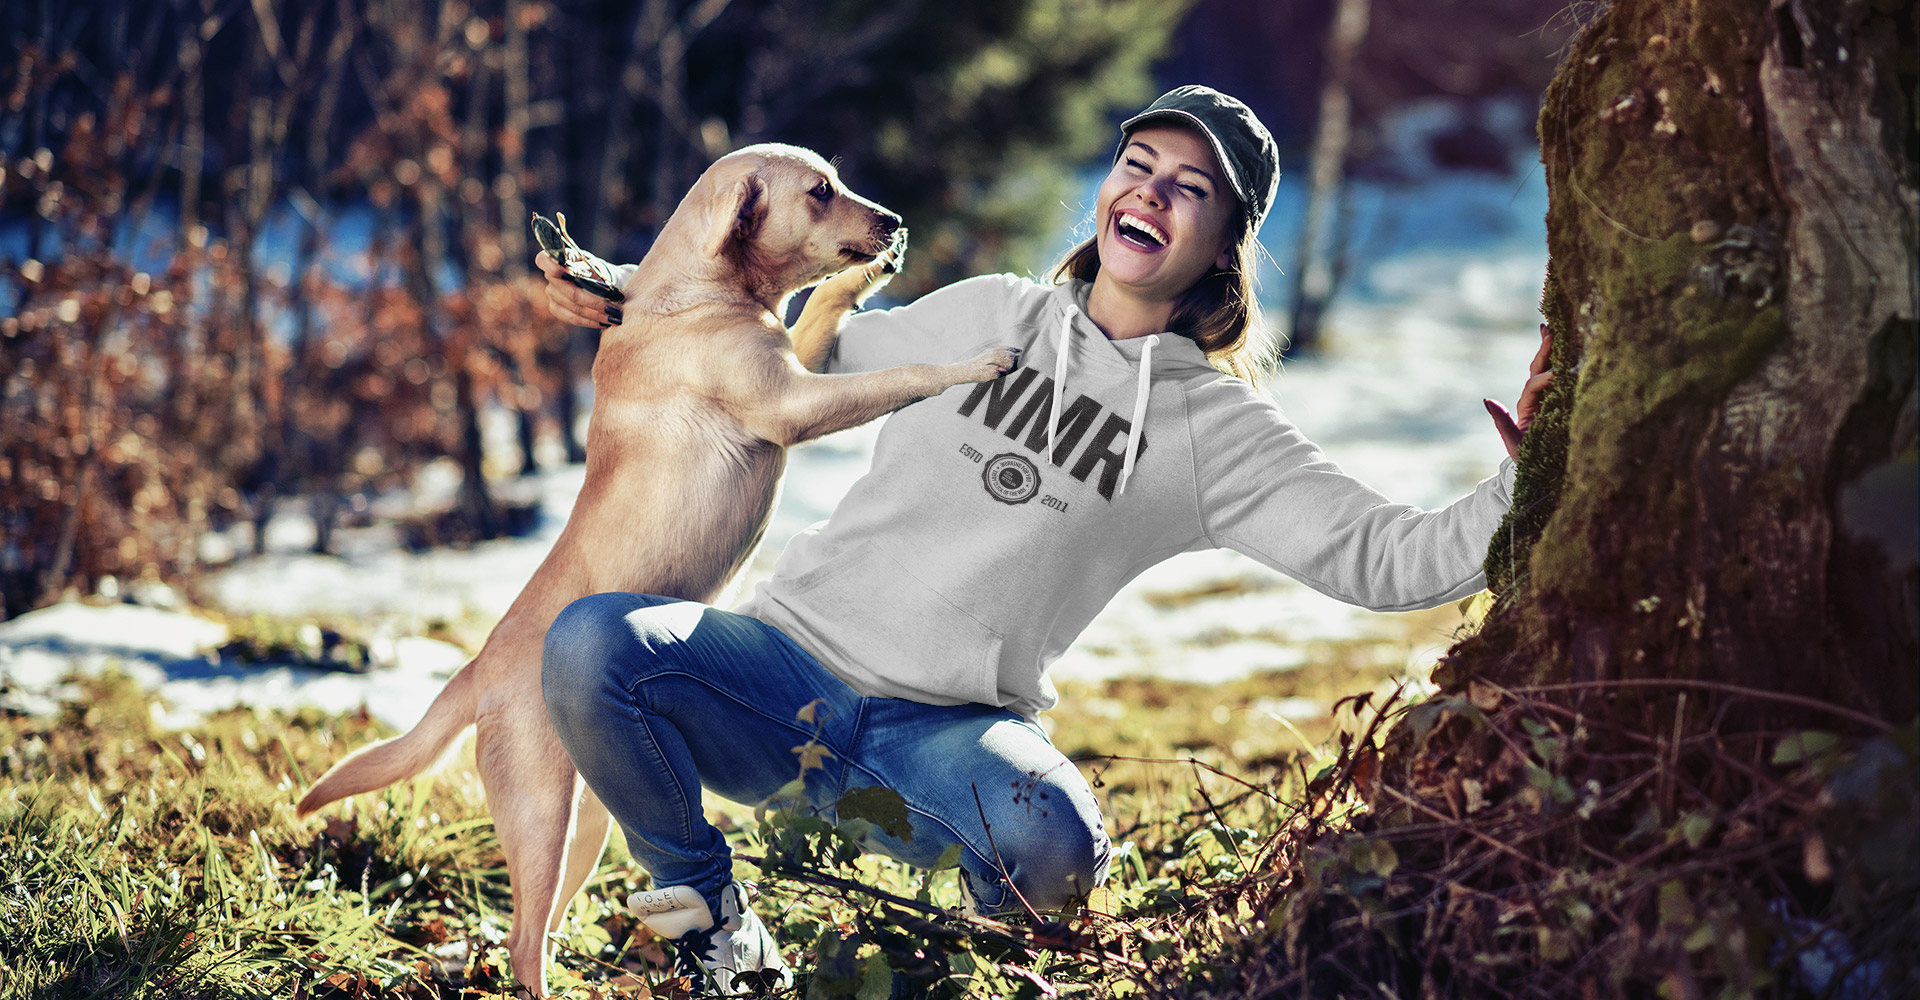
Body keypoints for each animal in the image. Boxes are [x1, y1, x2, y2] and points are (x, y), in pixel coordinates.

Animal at [295, 142, 1021, 990]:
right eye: (818, 192)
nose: (895, 219)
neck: (704, 292)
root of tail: (475, 670)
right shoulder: (795, 406)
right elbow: (898, 379)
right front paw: (975, 362)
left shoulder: (794, 364)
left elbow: (823, 307)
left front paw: (866, 276)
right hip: (541, 817)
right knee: (521, 942)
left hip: (586, 826)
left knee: (539, 928)